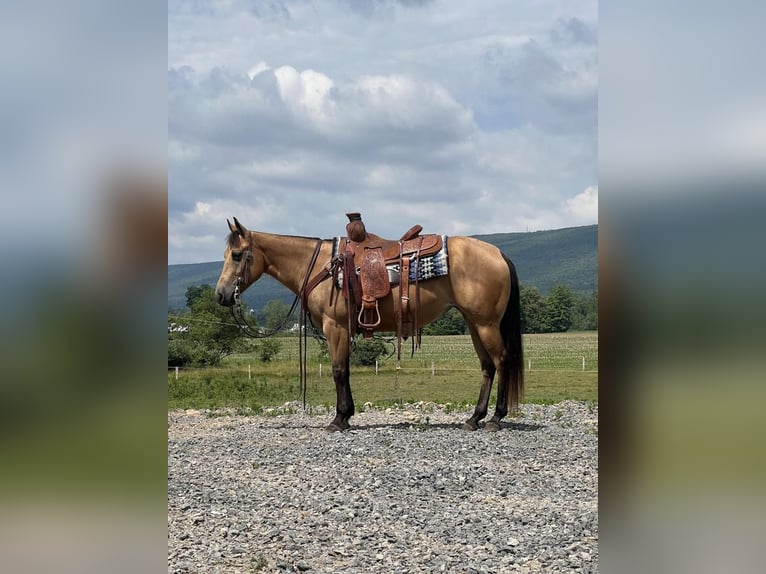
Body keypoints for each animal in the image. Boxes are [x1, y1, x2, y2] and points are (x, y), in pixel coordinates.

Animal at [216, 216, 528, 432]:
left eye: (236, 255)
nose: (220, 295)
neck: (320, 266)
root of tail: (498, 254)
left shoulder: (335, 327)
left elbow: (338, 371)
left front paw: (338, 419)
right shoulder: (343, 330)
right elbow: (345, 371)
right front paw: (347, 415)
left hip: (487, 324)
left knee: (501, 362)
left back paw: (495, 419)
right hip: (475, 323)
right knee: (487, 367)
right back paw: (474, 418)